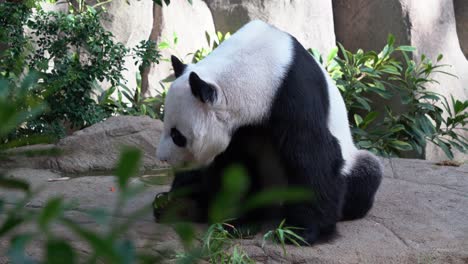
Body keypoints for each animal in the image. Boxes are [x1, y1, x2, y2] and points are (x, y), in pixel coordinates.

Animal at [155, 20, 382, 245]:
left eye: (177, 136)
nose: (163, 158)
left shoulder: (295, 93)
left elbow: (312, 155)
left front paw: (299, 232)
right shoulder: (241, 129)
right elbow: (234, 167)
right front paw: (239, 221)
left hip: (354, 162)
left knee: (367, 174)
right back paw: (174, 203)